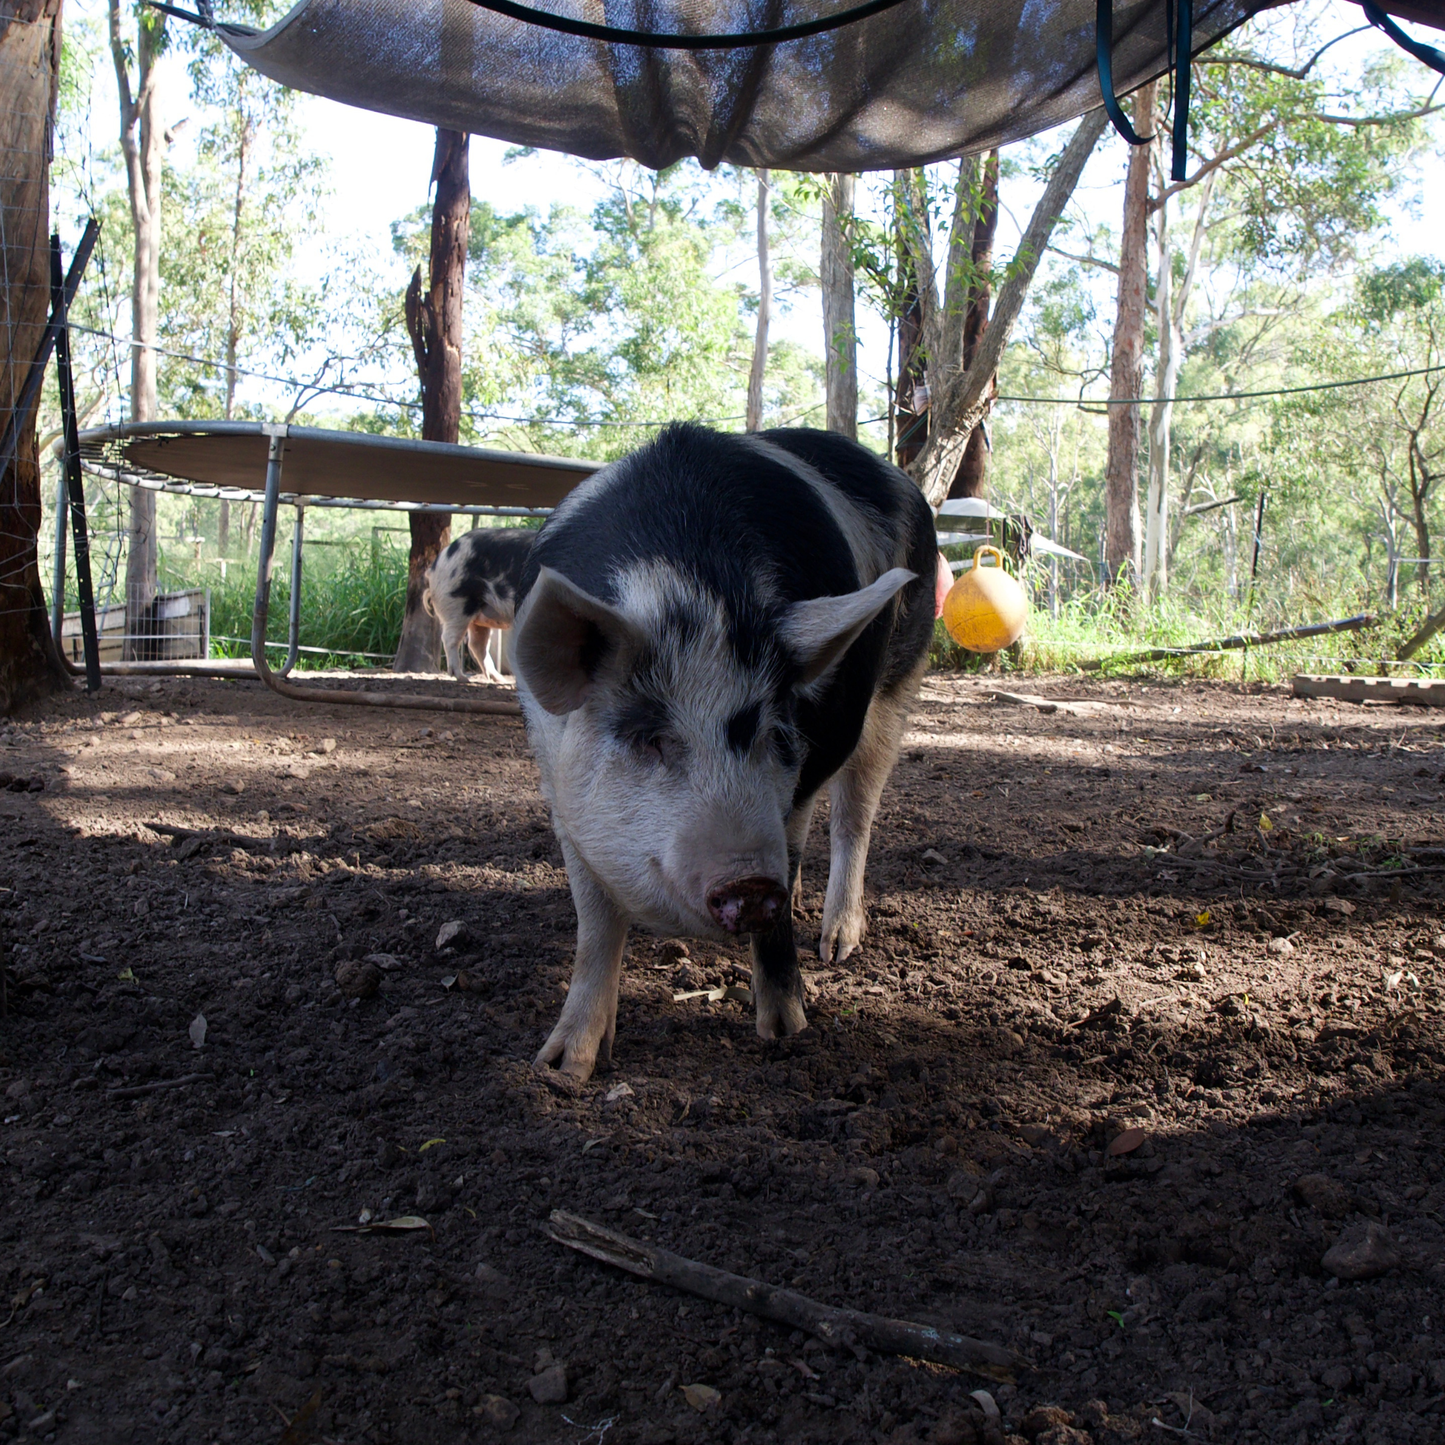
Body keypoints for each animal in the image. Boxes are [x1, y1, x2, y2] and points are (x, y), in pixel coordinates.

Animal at [422, 526, 535, 684]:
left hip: (479, 617)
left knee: (476, 645)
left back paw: (500, 680)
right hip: (457, 603)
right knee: (450, 638)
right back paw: (462, 678)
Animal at [511, 423, 937, 1082]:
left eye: (777, 733)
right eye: (651, 737)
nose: (750, 881)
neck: (688, 588)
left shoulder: (793, 791)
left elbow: (786, 894)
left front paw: (786, 1033)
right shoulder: (560, 785)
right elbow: (596, 923)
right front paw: (562, 1069)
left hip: (898, 685)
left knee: (855, 813)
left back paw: (836, 946)